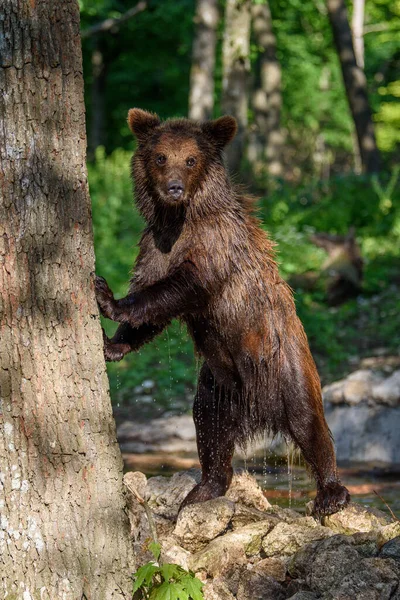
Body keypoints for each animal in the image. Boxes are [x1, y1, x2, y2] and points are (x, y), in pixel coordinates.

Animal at [96, 108, 350, 516]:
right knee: (208, 424)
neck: (180, 219)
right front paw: (113, 345)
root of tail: (256, 407)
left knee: (307, 420)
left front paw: (108, 298)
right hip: (217, 383)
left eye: (191, 159)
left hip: (285, 361)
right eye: (160, 157)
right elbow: (154, 306)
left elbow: (179, 289)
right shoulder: (155, 246)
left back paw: (331, 492)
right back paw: (204, 488)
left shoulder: (215, 247)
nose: (174, 188)